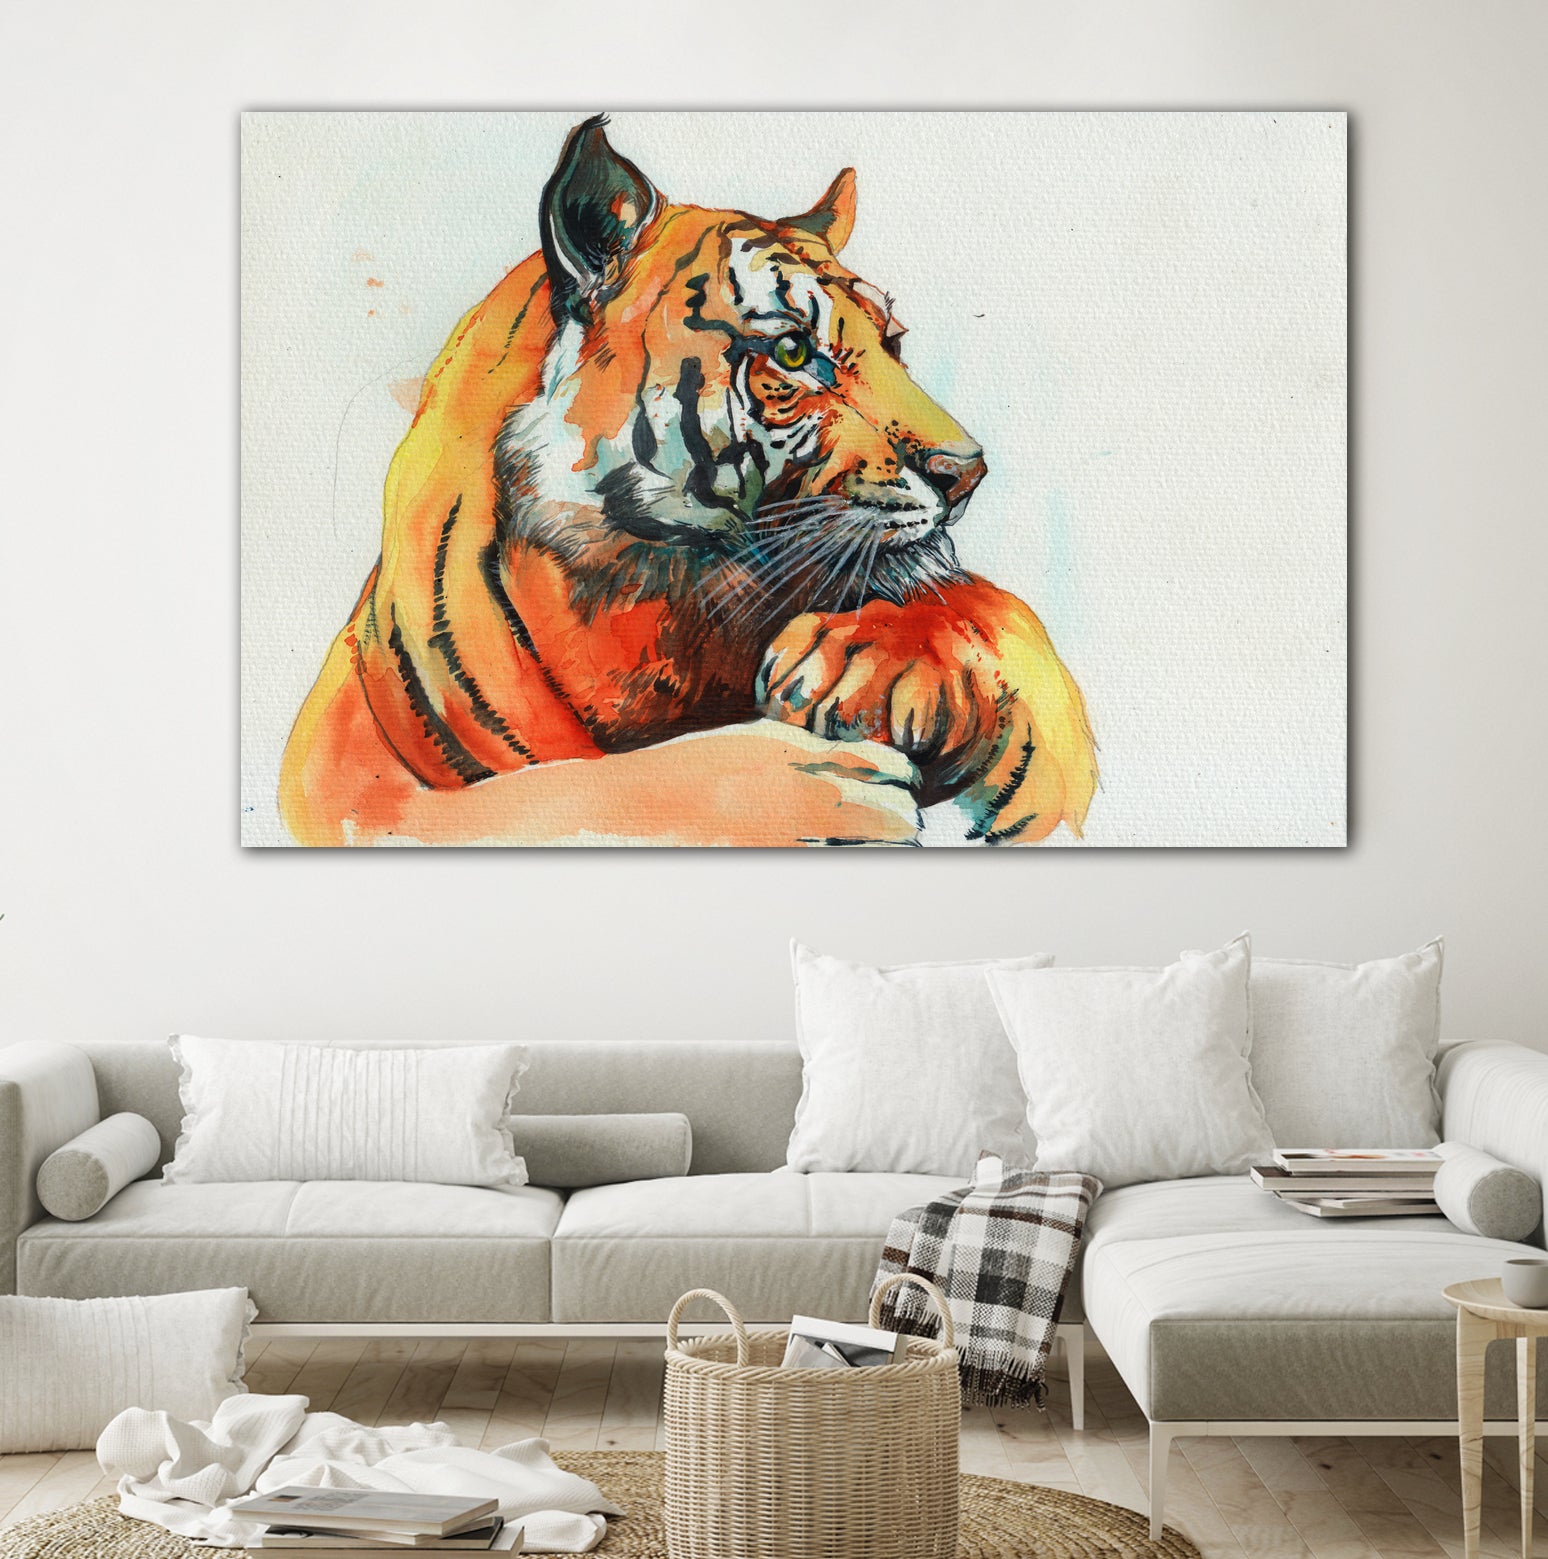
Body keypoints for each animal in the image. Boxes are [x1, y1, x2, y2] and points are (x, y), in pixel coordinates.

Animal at [278, 115, 1097, 847]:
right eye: (794, 353)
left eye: (892, 343)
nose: (967, 471)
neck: (662, 613)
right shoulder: (343, 782)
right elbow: (574, 796)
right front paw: (819, 794)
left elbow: (1001, 623)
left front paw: (858, 662)